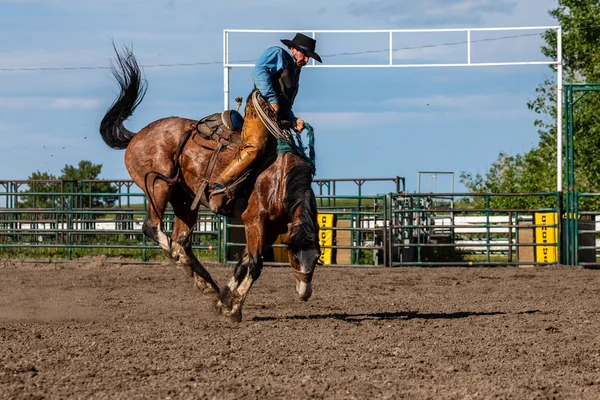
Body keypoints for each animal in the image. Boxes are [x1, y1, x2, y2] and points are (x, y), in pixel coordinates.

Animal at [98, 46, 322, 322]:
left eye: (317, 257)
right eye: (293, 255)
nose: (304, 294)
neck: (279, 181)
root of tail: (138, 135)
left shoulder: (270, 230)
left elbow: (243, 265)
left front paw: (224, 300)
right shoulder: (254, 221)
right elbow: (254, 266)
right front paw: (233, 309)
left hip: (184, 200)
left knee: (182, 242)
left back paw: (208, 286)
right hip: (158, 188)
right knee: (154, 229)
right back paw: (178, 257)